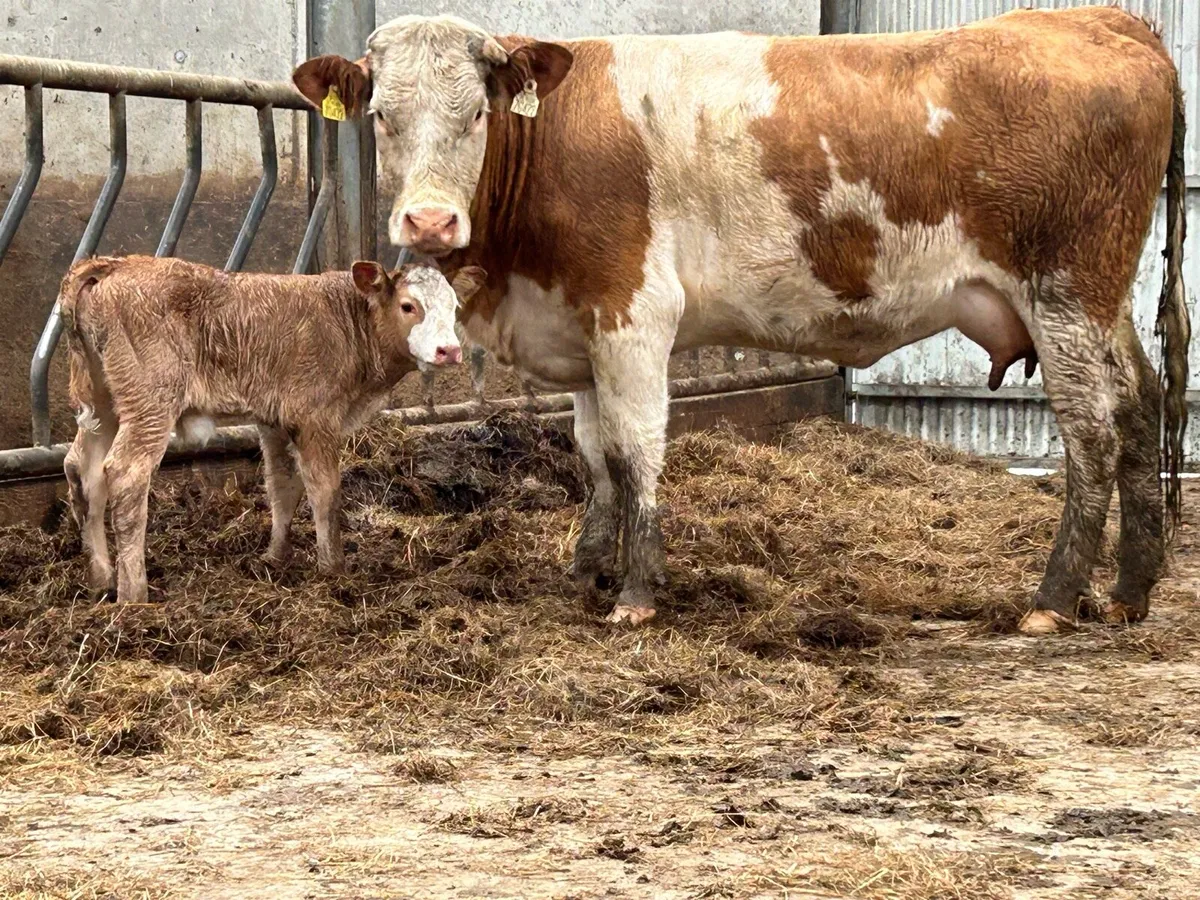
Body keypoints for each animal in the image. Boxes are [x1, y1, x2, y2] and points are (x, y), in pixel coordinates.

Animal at [60, 255, 486, 603]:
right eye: (408, 306)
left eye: (454, 307)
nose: (450, 351)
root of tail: (113, 264)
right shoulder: (317, 417)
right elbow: (324, 490)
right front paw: (333, 567)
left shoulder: (276, 419)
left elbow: (283, 487)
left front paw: (275, 557)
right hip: (150, 403)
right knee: (125, 473)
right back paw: (134, 593)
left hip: (105, 403)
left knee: (81, 469)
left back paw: (101, 579)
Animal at [292, 6, 1189, 632]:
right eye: (381, 116)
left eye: (476, 114)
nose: (429, 222)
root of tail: (1100, 19)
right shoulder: (582, 323)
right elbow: (593, 453)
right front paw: (586, 570)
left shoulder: (634, 312)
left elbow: (636, 450)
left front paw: (636, 592)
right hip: (1101, 305)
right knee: (1141, 406)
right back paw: (1128, 592)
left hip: (1063, 293)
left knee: (1092, 431)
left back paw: (1055, 598)